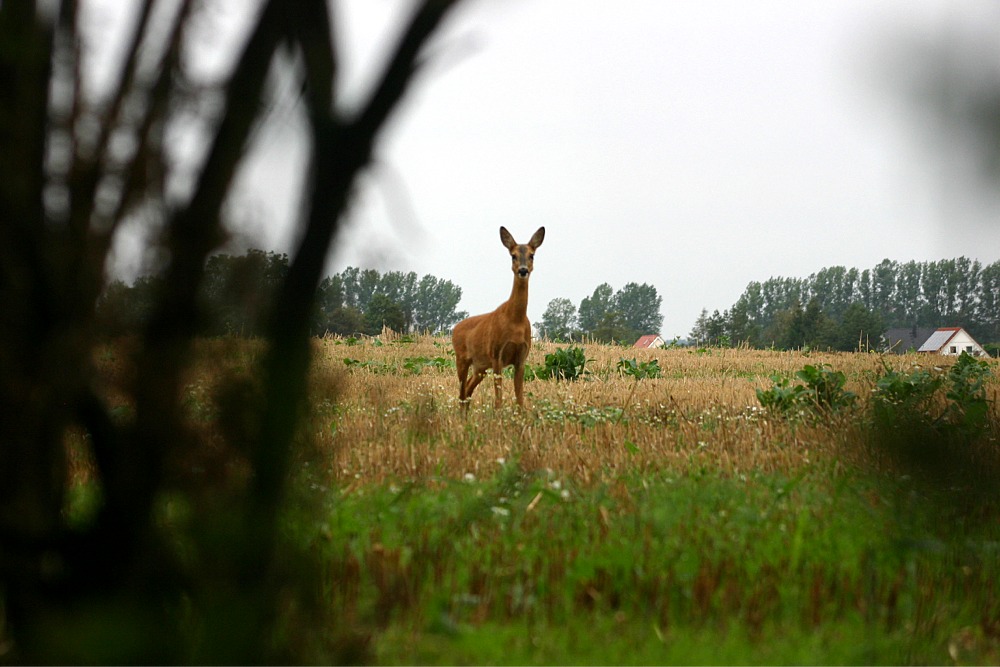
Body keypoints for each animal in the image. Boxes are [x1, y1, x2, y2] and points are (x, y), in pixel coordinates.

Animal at [454, 227, 548, 410]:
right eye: (513, 255)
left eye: (532, 255)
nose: (523, 270)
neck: (515, 320)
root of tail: (455, 328)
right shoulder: (496, 354)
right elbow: (498, 399)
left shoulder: (521, 358)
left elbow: (520, 398)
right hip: (461, 358)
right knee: (461, 393)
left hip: (480, 366)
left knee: (467, 390)